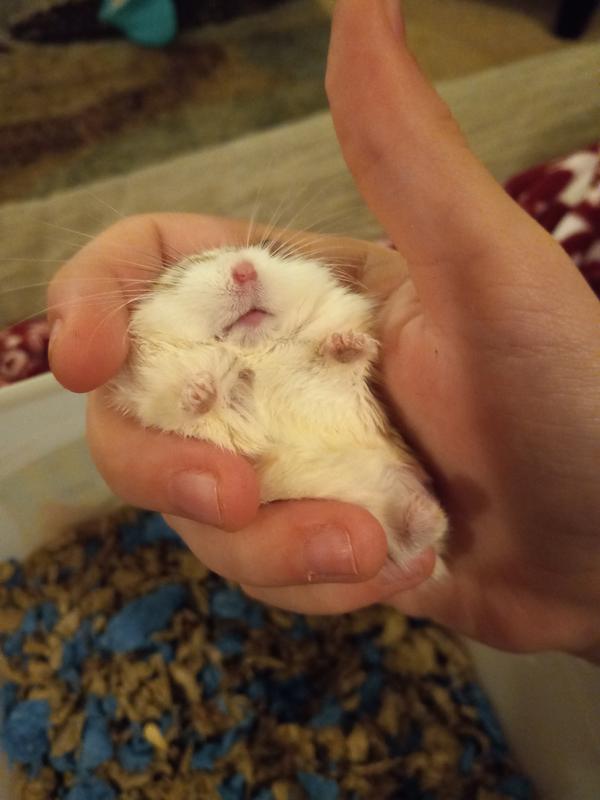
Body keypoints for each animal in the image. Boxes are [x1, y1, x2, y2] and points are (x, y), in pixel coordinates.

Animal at [108, 244, 448, 576]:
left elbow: (342, 363)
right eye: (189, 267)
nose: (245, 270)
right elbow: (200, 408)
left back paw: (428, 510)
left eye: (259, 250)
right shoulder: (175, 407)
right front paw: (202, 389)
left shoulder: (340, 383)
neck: (257, 349)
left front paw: (345, 342)